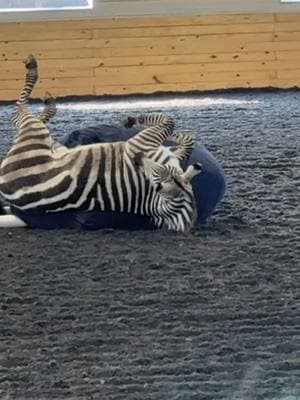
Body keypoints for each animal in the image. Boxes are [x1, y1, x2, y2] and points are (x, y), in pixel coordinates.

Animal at [0, 54, 203, 233]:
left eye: (158, 180)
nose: (137, 159)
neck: (148, 200)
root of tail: (8, 189)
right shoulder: (149, 147)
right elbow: (184, 138)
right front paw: (135, 120)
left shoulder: (139, 144)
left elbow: (170, 123)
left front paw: (135, 119)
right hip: (52, 144)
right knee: (32, 118)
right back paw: (48, 103)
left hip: (34, 132)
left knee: (18, 113)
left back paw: (35, 73)